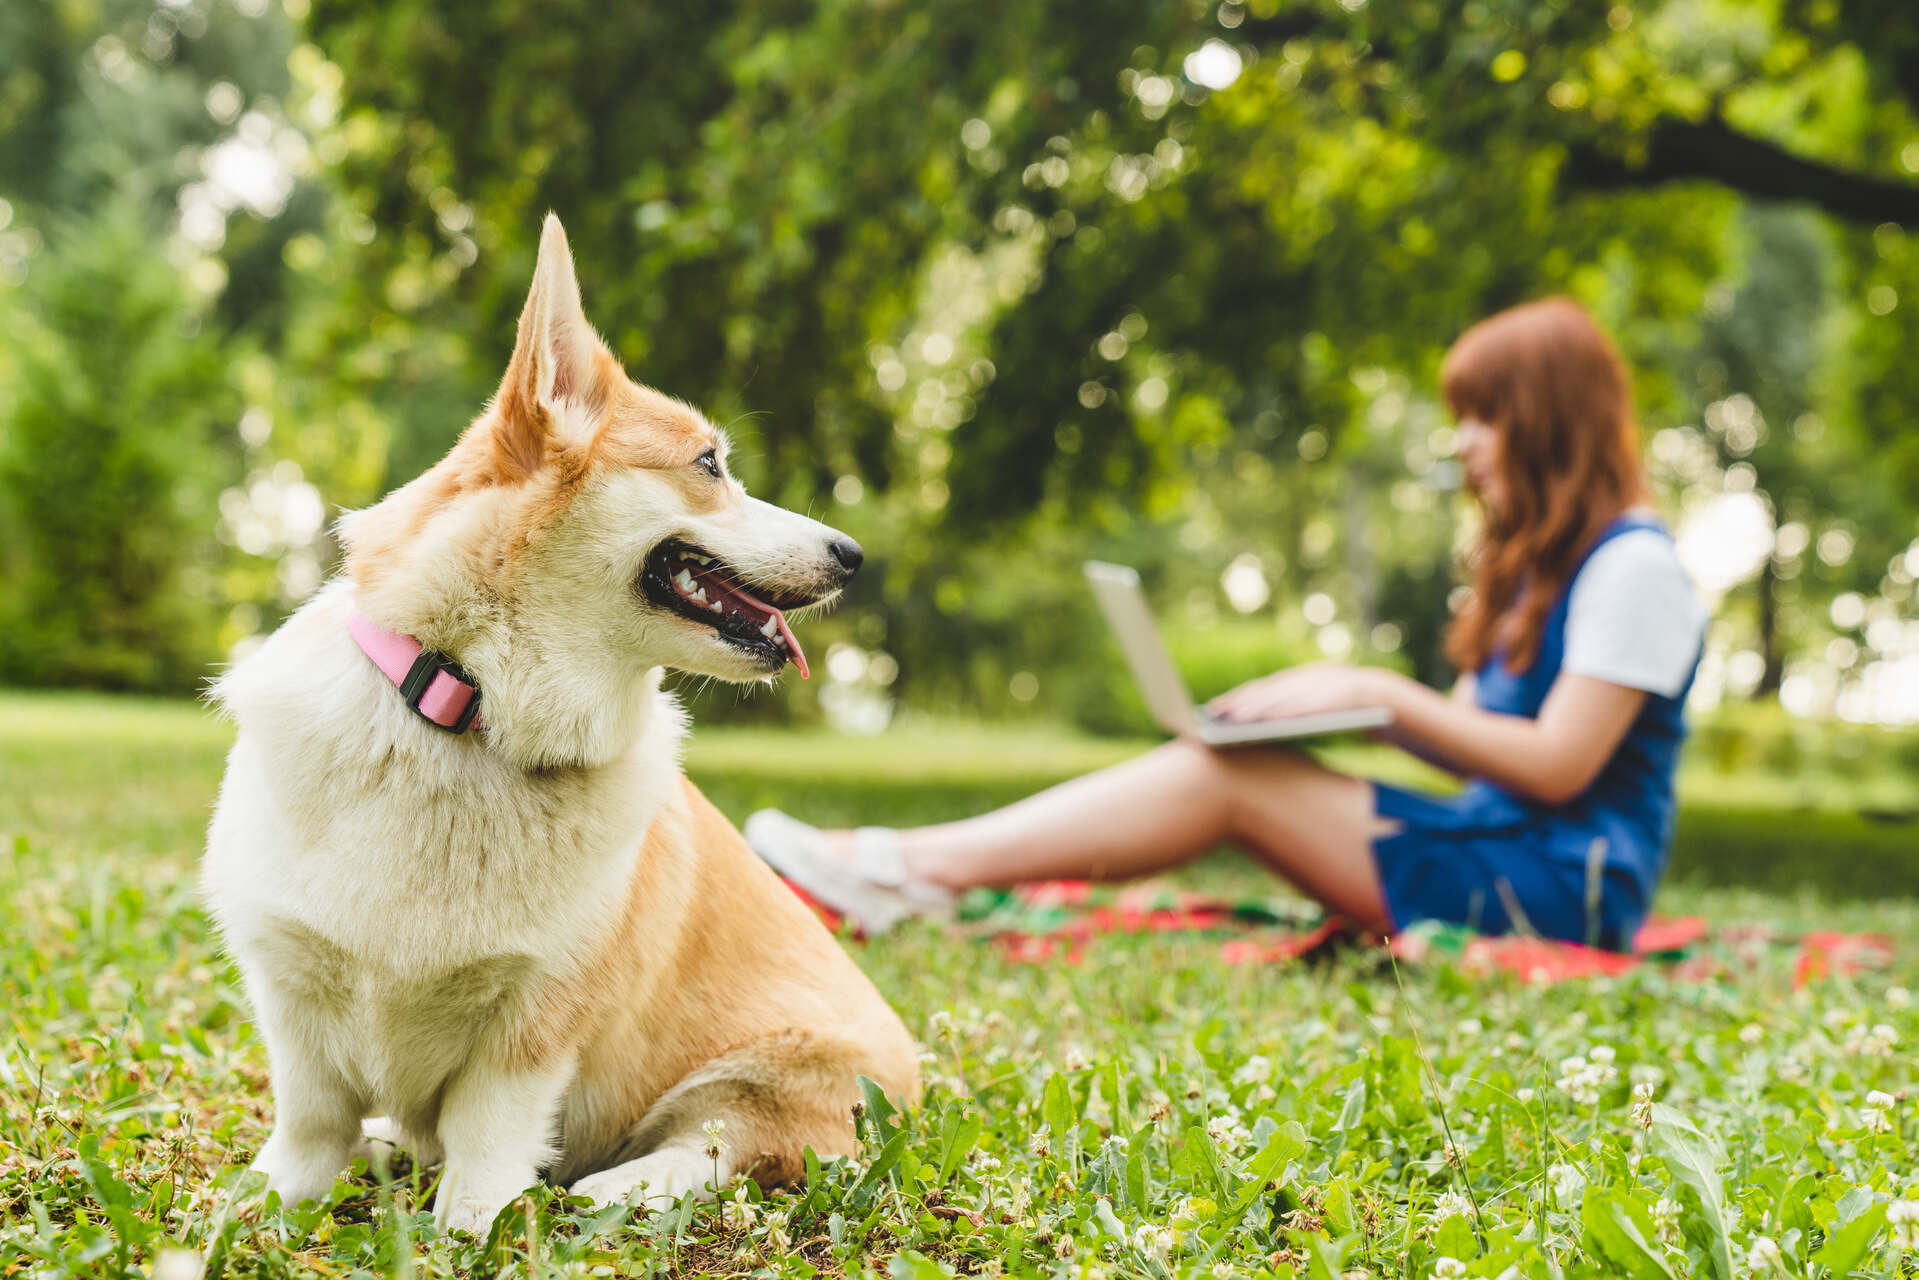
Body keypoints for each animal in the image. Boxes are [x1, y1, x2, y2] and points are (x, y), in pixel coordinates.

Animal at [200, 214, 913, 1235]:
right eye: (708, 466)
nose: (853, 555)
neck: (471, 716)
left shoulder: (537, 1014)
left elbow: (488, 1136)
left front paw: (469, 1229)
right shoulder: (293, 988)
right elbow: (308, 1123)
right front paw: (260, 1204)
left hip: (779, 1070)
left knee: (724, 1148)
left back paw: (619, 1187)